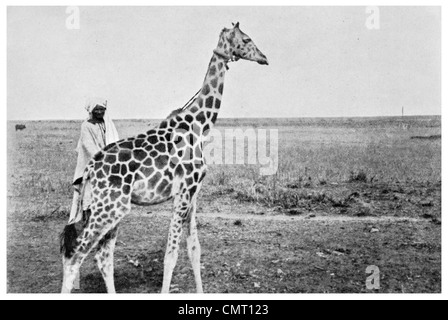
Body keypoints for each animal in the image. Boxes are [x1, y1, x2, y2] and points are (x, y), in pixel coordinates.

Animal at [60, 21, 268, 294]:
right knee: (76, 253)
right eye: (246, 39)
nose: (264, 58)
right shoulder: (183, 191)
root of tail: (90, 170)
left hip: (111, 209)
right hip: (109, 208)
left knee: (102, 256)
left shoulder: (193, 193)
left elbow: (194, 250)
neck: (199, 126)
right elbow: (171, 255)